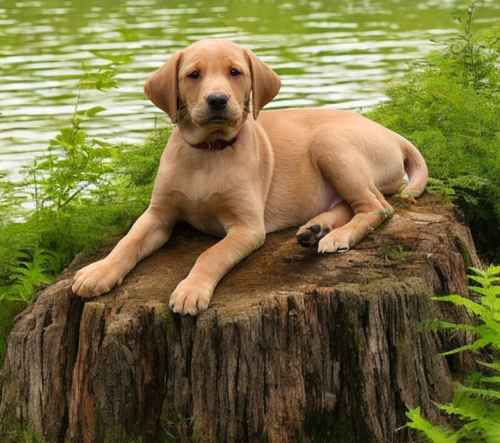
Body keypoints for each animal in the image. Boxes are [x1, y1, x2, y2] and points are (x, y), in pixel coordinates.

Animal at [71, 39, 430, 316]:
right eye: (193, 75)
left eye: (235, 72)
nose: (217, 99)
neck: (209, 152)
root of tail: (392, 134)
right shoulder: (159, 214)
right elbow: (127, 241)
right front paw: (98, 272)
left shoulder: (246, 227)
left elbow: (211, 255)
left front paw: (191, 290)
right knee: (349, 204)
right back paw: (315, 229)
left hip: (331, 144)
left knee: (378, 206)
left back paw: (336, 237)